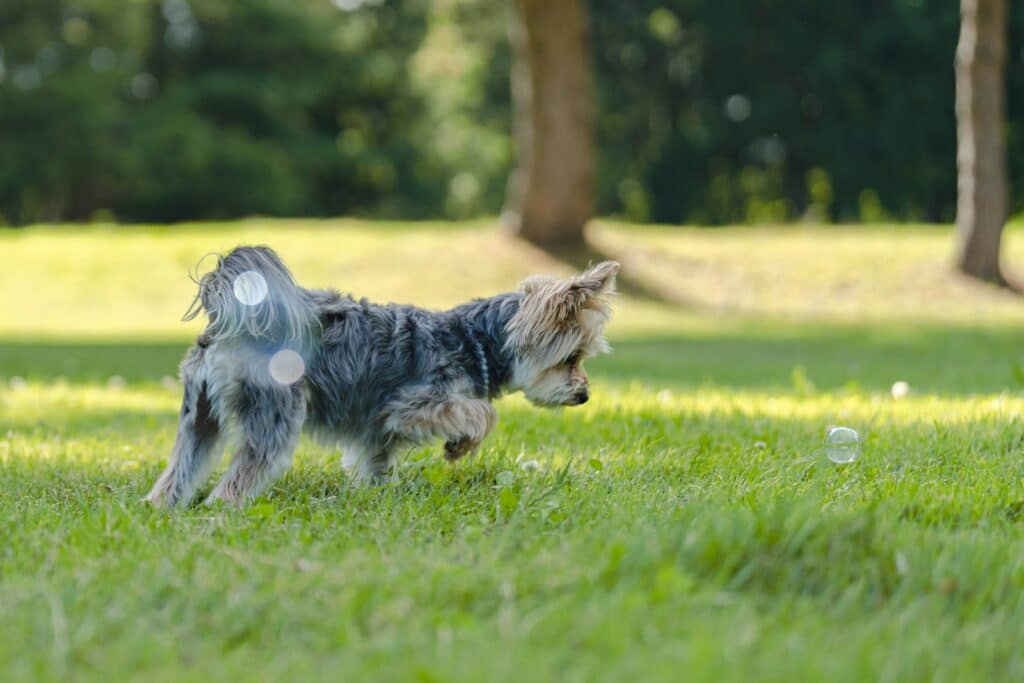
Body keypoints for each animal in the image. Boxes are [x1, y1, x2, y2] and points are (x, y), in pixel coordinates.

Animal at [145, 245, 618, 507]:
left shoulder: (375, 432)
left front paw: (374, 498)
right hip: (274, 411)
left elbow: (374, 466)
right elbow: (483, 413)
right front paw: (459, 446)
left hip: (199, 415)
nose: (584, 395)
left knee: (180, 468)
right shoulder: (409, 406)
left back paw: (160, 507)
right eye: (572, 357)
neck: (473, 340)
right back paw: (223, 512)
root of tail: (227, 324)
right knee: (242, 475)